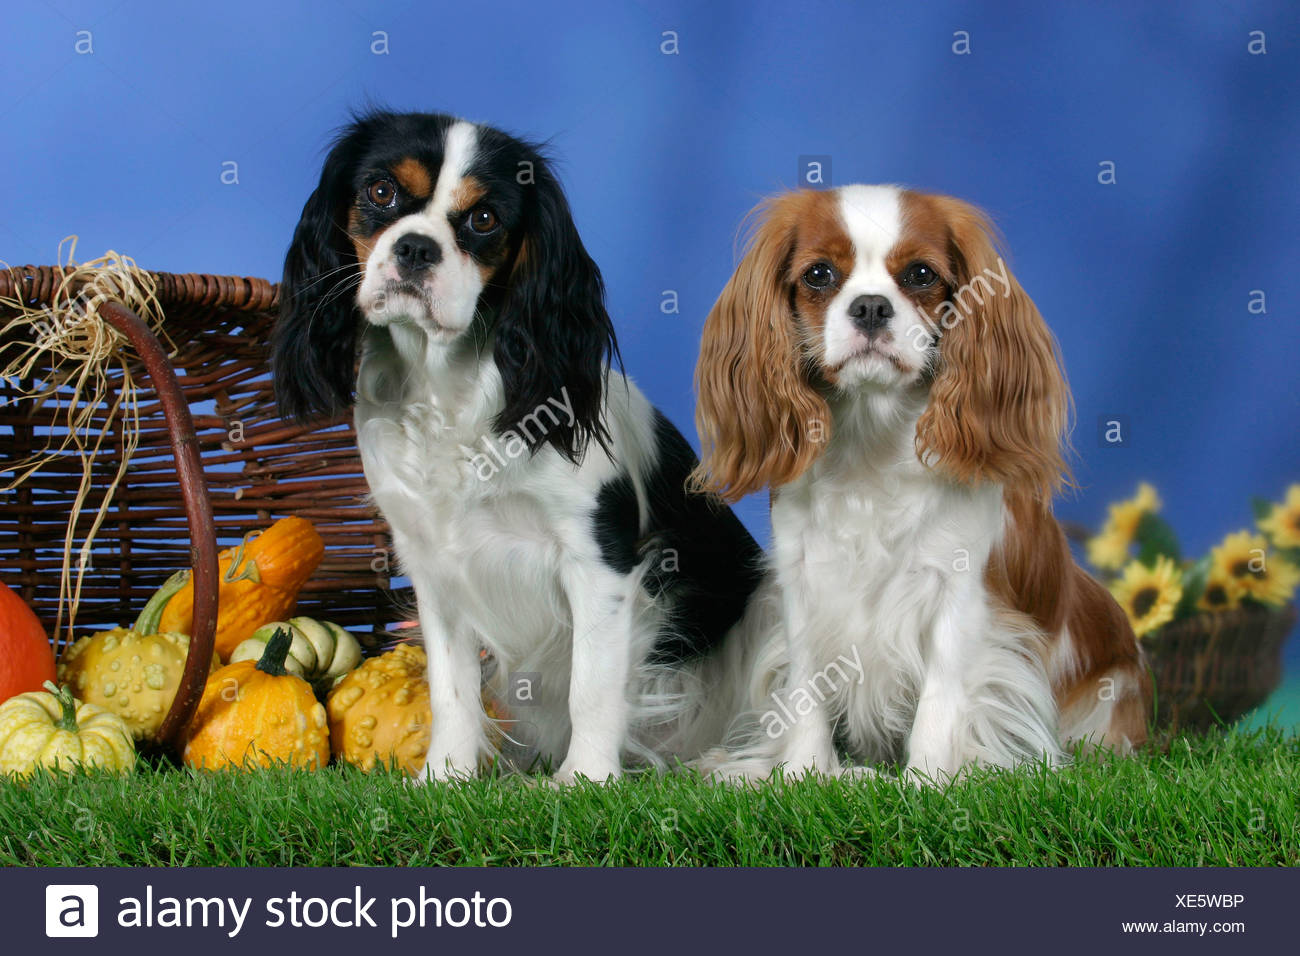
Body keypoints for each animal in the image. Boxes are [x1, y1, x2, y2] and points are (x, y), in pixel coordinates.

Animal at [274, 113, 759, 785]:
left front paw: (586, 780)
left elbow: (592, 686)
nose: (416, 247)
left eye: (483, 219)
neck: (442, 386)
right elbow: (452, 686)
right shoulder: (433, 565)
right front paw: (445, 774)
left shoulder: (598, 561)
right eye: (380, 192)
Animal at [696, 184, 1154, 780]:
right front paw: (803, 774)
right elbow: (804, 694)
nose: (870, 306)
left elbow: (941, 699)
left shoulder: (959, 595)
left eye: (919, 274)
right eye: (819, 274)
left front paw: (928, 782)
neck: (872, 439)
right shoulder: (804, 586)